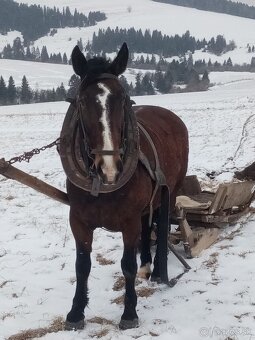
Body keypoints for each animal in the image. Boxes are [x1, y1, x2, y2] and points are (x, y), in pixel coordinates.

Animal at [61, 43, 189, 332]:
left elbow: (127, 265)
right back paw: (147, 265)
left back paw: (158, 269)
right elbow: (81, 266)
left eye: (122, 99)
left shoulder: (128, 220)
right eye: (82, 102)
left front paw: (129, 312)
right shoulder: (78, 220)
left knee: (159, 227)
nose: (109, 167)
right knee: (147, 226)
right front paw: (75, 312)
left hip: (171, 192)